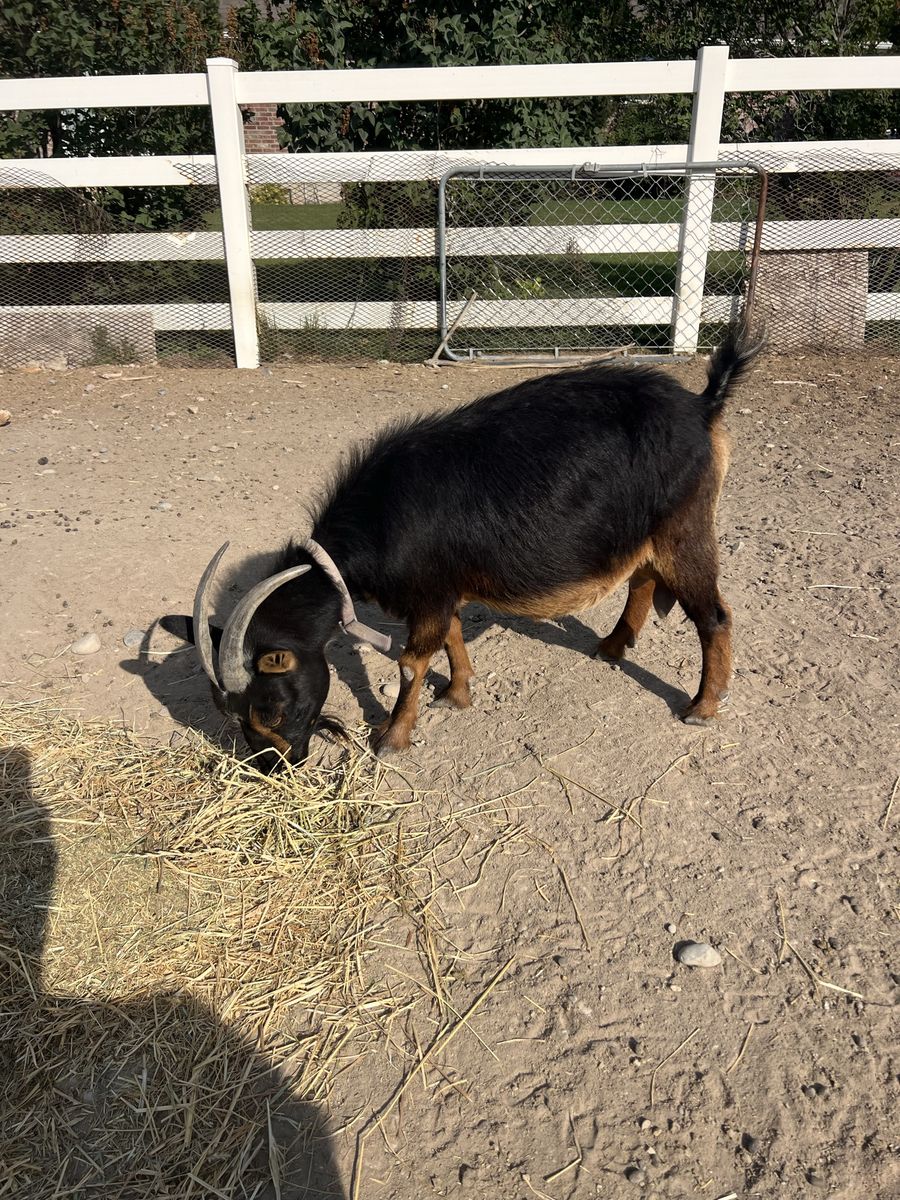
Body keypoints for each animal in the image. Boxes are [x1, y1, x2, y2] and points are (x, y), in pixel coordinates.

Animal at [170, 324, 760, 770]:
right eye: (231, 715)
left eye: (269, 707)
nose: (274, 767)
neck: (381, 521)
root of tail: (704, 404)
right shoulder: (440, 588)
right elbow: (452, 635)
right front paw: (457, 695)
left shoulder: (428, 592)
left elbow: (411, 661)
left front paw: (391, 739)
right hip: (643, 531)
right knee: (640, 577)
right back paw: (612, 646)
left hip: (684, 528)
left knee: (714, 615)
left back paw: (702, 706)